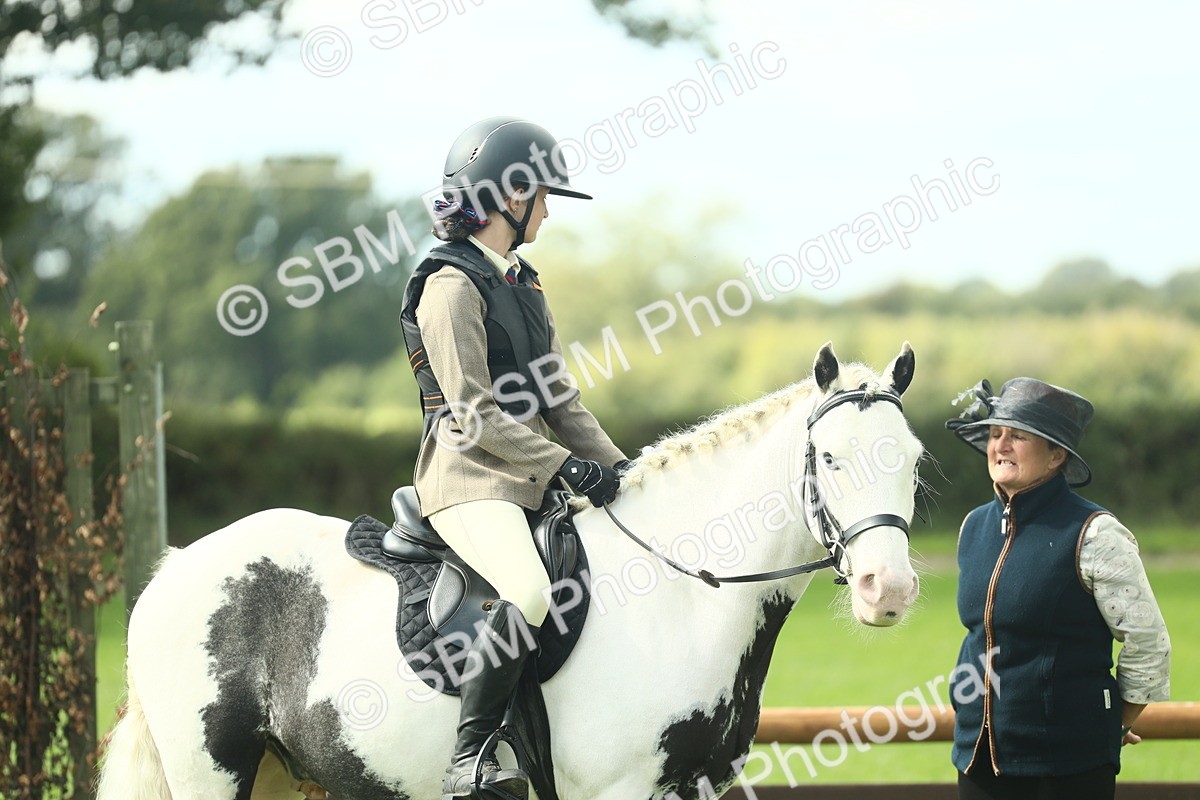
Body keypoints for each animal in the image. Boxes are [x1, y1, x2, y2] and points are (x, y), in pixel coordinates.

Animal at [97, 341, 923, 800]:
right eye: (830, 459)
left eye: (913, 462)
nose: (889, 591)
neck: (678, 598)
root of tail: (176, 567)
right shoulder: (615, 789)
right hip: (210, 773)